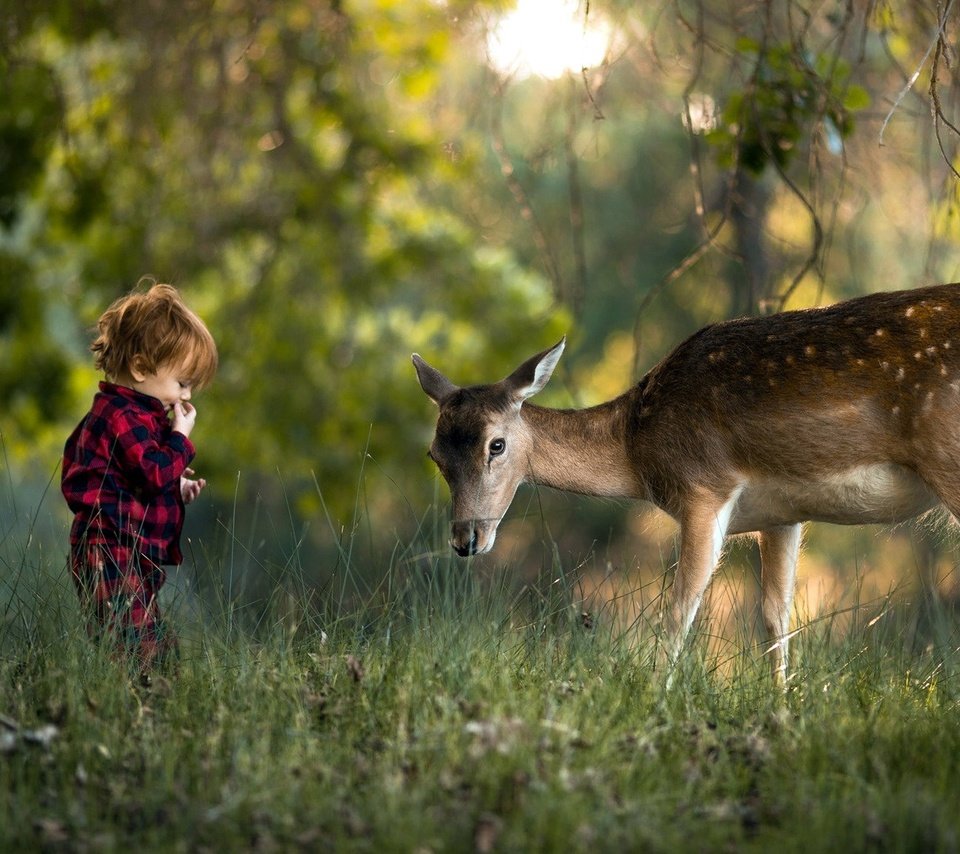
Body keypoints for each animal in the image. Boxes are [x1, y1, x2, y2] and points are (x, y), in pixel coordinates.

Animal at [408, 284, 960, 684]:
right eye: (434, 455)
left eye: (496, 445)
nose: (466, 539)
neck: (637, 445)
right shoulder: (782, 514)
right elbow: (776, 620)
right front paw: (783, 715)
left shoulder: (704, 489)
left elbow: (678, 616)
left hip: (948, 456)